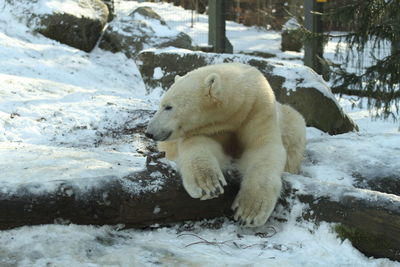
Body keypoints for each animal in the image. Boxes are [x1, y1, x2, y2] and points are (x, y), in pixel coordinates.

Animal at [147, 63, 306, 228]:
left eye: (168, 107)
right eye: (162, 104)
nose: (149, 132)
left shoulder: (258, 110)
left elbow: (264, 149)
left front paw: (249, 211)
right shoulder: (211, 128)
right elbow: (198, 143)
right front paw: (208, 185)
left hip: (290, 120)